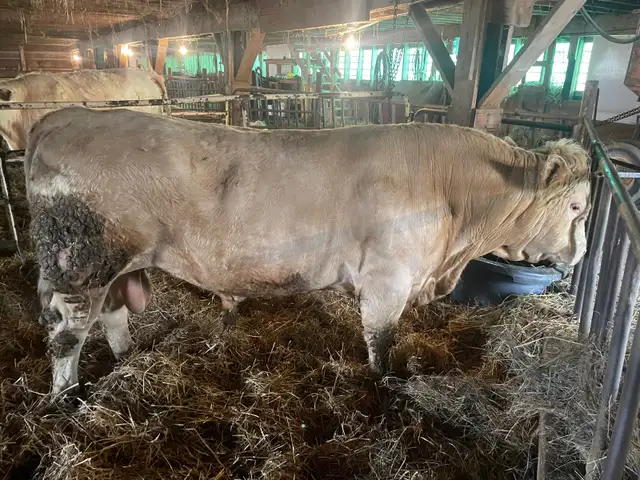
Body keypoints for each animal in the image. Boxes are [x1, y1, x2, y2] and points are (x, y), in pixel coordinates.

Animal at [24, 107, 591, 395]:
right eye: (579, 207)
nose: (581, 257)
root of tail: (61, 116)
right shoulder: (388, 279)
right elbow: (380, 340)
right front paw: (384, 386)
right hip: (79, 264)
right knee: (67, 336)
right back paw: (66, 397)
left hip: (112, 265)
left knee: (113, 315)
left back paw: (127, 359)